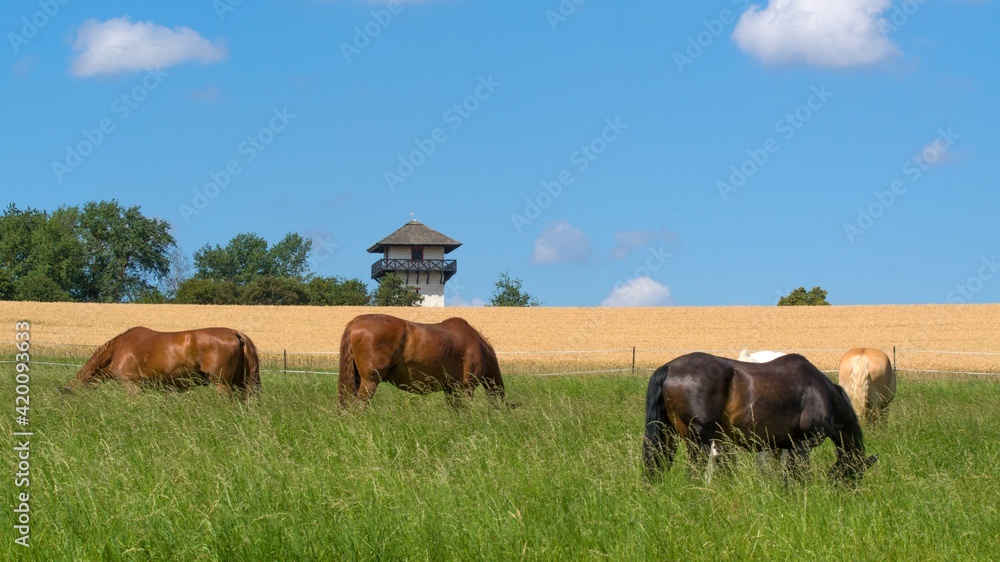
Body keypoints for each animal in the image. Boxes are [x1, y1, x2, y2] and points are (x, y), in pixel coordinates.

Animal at [644, 352, 872, 480]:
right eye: (855, 474)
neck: (823, 393)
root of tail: (668, 368)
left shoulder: (780, 447)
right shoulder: (802, 447)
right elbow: (797, 478)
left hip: (668, 437)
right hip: (698, 443)